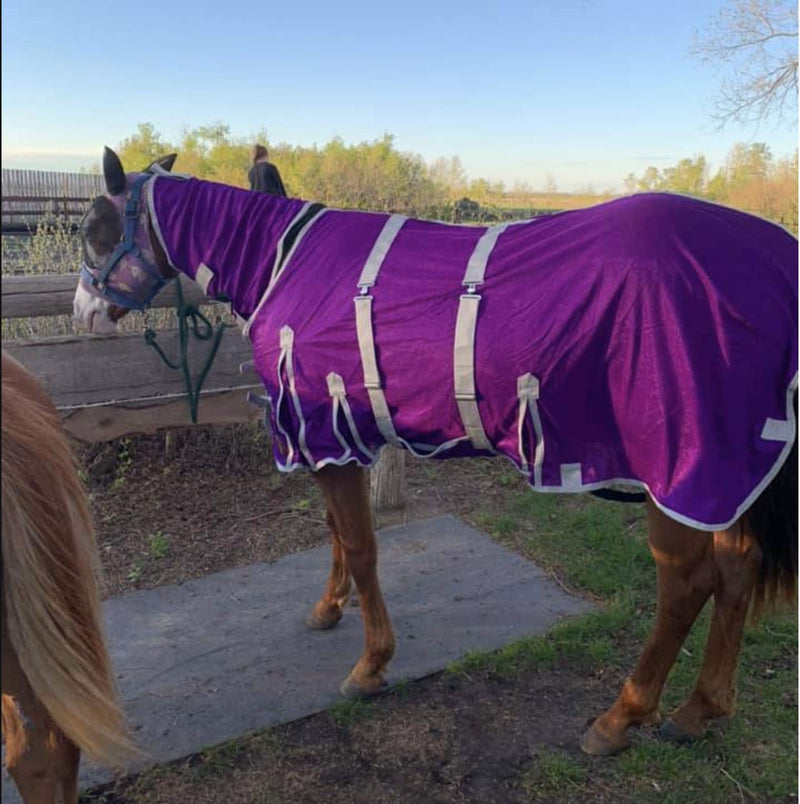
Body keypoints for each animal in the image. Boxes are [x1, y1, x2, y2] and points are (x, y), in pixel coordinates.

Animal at [72, 147, 797, 757]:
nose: (82, 312)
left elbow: (362, 545)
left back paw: (622, 717)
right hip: (726, 479)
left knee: (686, 586)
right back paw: (699, 710)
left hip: (678, 473)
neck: (285, 262)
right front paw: (328, 608)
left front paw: (371, 664)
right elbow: (336, 531)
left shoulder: (325, 430)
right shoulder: (335, 439)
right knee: (735, 573)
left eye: (93, 226)